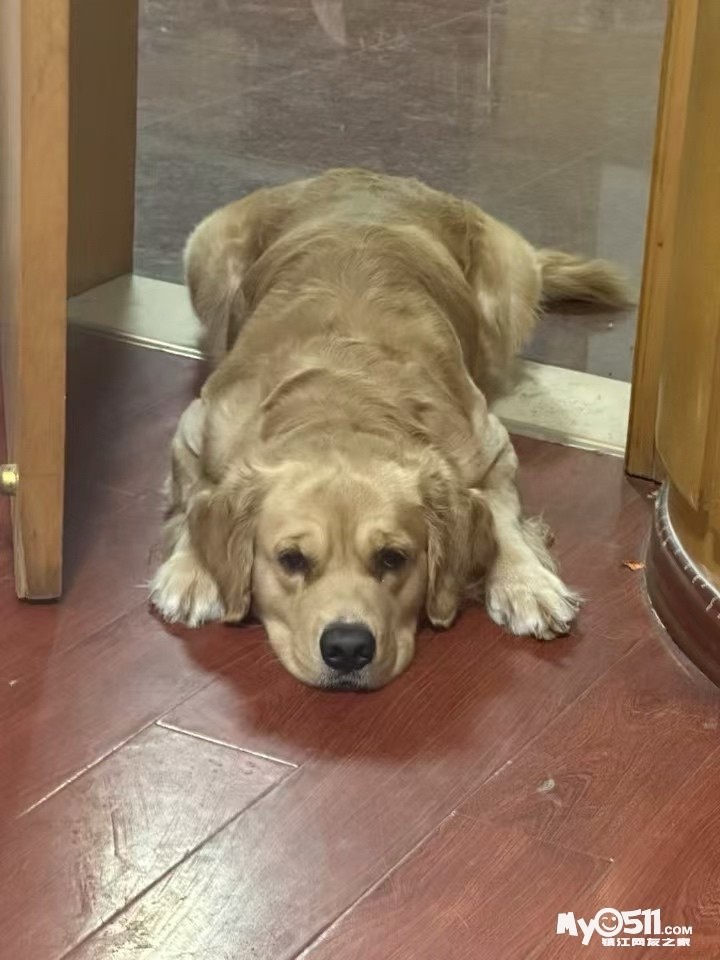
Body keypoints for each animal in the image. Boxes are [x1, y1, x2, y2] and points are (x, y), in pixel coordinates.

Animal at [150, 168, 628, 690]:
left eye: (392, 558)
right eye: (292, 560)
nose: (347, 648)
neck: (344, 398)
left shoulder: (490, 444)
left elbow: (500, 515)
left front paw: (527, 582)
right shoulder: (197, 426)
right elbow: (198, 494)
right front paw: (190, 571)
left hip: (512, 278)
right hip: (207, 251)